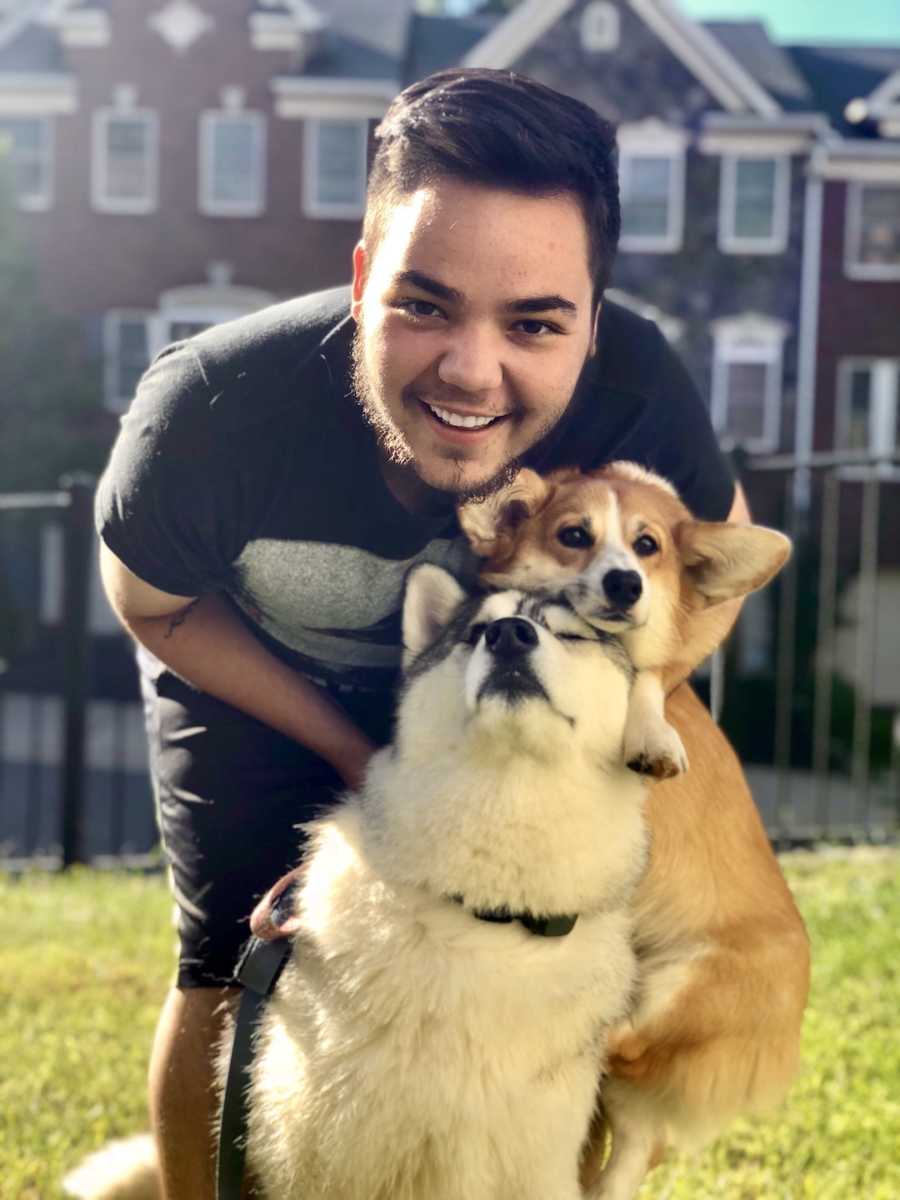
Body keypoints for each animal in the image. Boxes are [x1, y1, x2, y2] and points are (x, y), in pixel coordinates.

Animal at [66, 566, 652, 1200]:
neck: (487, 913)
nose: (509, 635)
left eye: (570, 634)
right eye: (474, 632)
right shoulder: (324, 1157)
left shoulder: (534, 1165)